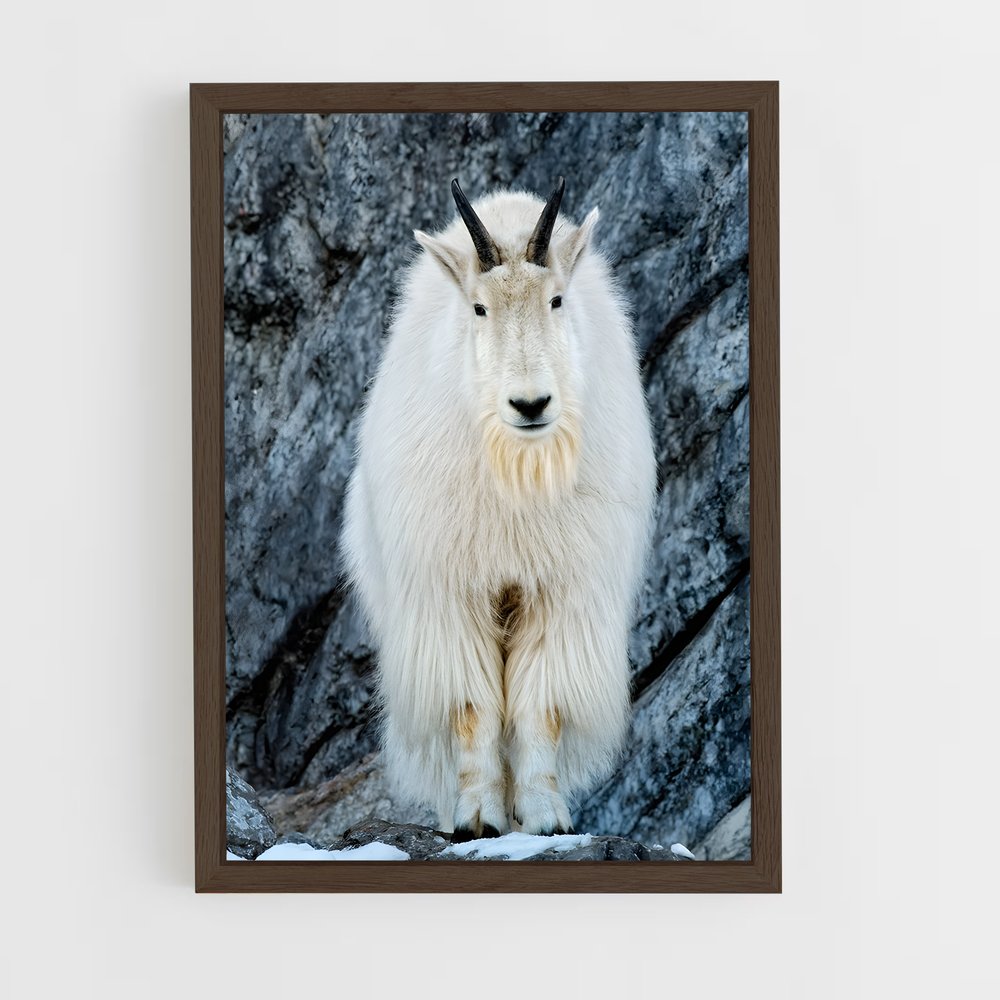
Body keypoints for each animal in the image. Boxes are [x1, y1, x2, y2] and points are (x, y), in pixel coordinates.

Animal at [341, 177, 655, 840]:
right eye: (479, 309)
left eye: (556, 300)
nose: (530, 404)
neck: (518, 472)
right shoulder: (450, 590)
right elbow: (471, 706)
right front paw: (477, 817)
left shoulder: (561, 589)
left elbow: (541, 707)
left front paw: (544, 818)